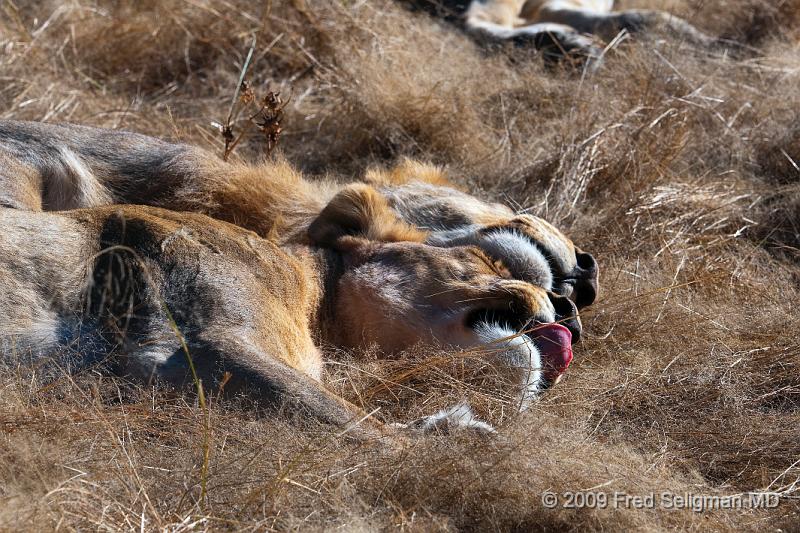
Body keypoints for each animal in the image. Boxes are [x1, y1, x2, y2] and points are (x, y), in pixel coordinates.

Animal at [0, 121, 596, 436]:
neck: (311, 299)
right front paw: (451, 438)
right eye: (486, 264)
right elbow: (365, 429)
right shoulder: (191, 345)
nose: (572, 311)